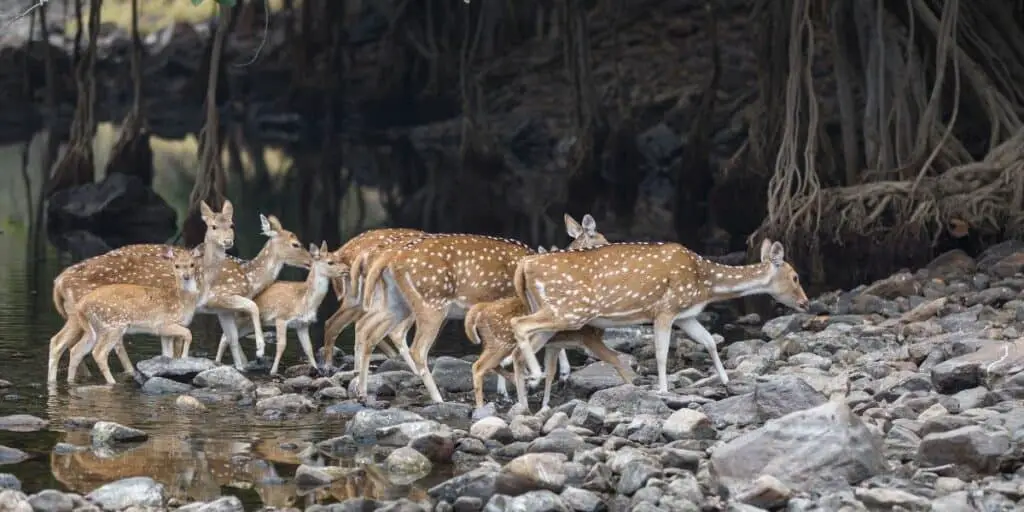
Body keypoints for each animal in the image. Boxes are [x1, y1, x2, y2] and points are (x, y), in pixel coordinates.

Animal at [54, 246, 211, 385]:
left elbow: (167, 354)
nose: (186, 276)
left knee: (73, 349)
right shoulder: (162, 324)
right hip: (113, 326)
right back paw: (112, 382)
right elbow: (188, 334)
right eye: (176, 265)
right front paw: (185, 360)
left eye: (192, 264)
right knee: (98, 352)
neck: (183, 301)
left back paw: (70, 381)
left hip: (93, 328)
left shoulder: (165, 332)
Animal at [214, 241, 346, 374]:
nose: (346, 269)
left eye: (339, 258)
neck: (303, 300)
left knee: (228, 336)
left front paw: (316, 369)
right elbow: (282, 345)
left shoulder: (302, 324)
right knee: (225, 336)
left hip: (248, 324)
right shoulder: (281, 318)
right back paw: (220, 363)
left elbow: (308, 348)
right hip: (240, 318)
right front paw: (273, 371)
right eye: (330, 262)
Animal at [356, 214, 606, 401]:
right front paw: (533, 379)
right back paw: (438, 398)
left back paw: (361, 392)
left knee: (369, 330)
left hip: (398, 302)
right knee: (416, 347)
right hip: (431, 303)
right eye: (601, 240)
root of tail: (390, 256)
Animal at [509, 238, 806, 391]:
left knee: (517, 348)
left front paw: (726, 379)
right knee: (518, 324)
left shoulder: (685, 314)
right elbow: (662, 352)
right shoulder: (665, 309)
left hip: (553, 312)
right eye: (795, 276)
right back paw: (535, 376)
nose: (805, 303)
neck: (705, 284)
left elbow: (710, 341)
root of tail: (524, 265)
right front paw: (663, 389)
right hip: (570, 310)